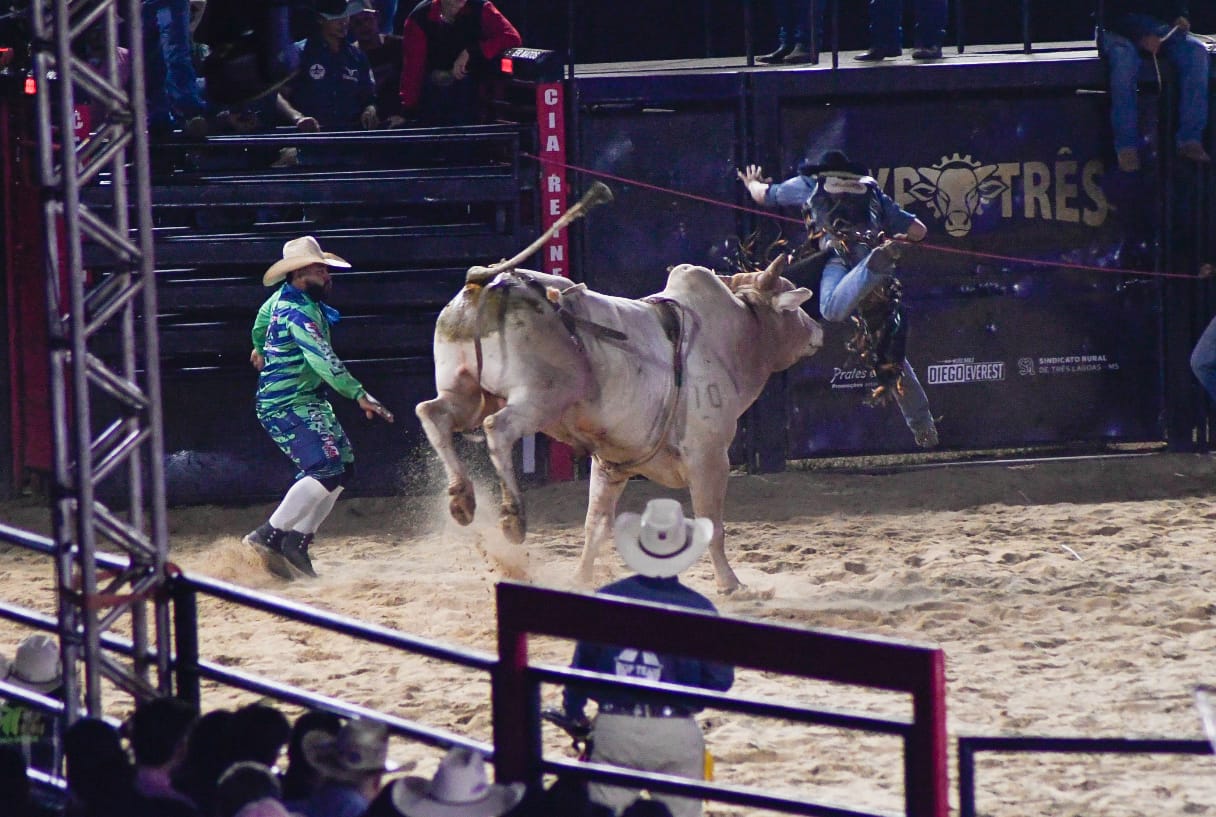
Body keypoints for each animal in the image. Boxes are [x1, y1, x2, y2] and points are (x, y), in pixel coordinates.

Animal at [418, 183, 826, 593]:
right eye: (793, 305)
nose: (817, 329)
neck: (734, 331)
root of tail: (488, 281)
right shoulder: (709, 457)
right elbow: (712, 525)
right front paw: (730, 584)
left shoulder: (610, 464)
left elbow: (596, 526)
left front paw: (581, 579)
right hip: (542, 397)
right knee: (496, 429)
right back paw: (512, 517)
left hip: (469, 394)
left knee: (433, 414)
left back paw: (461, 499)